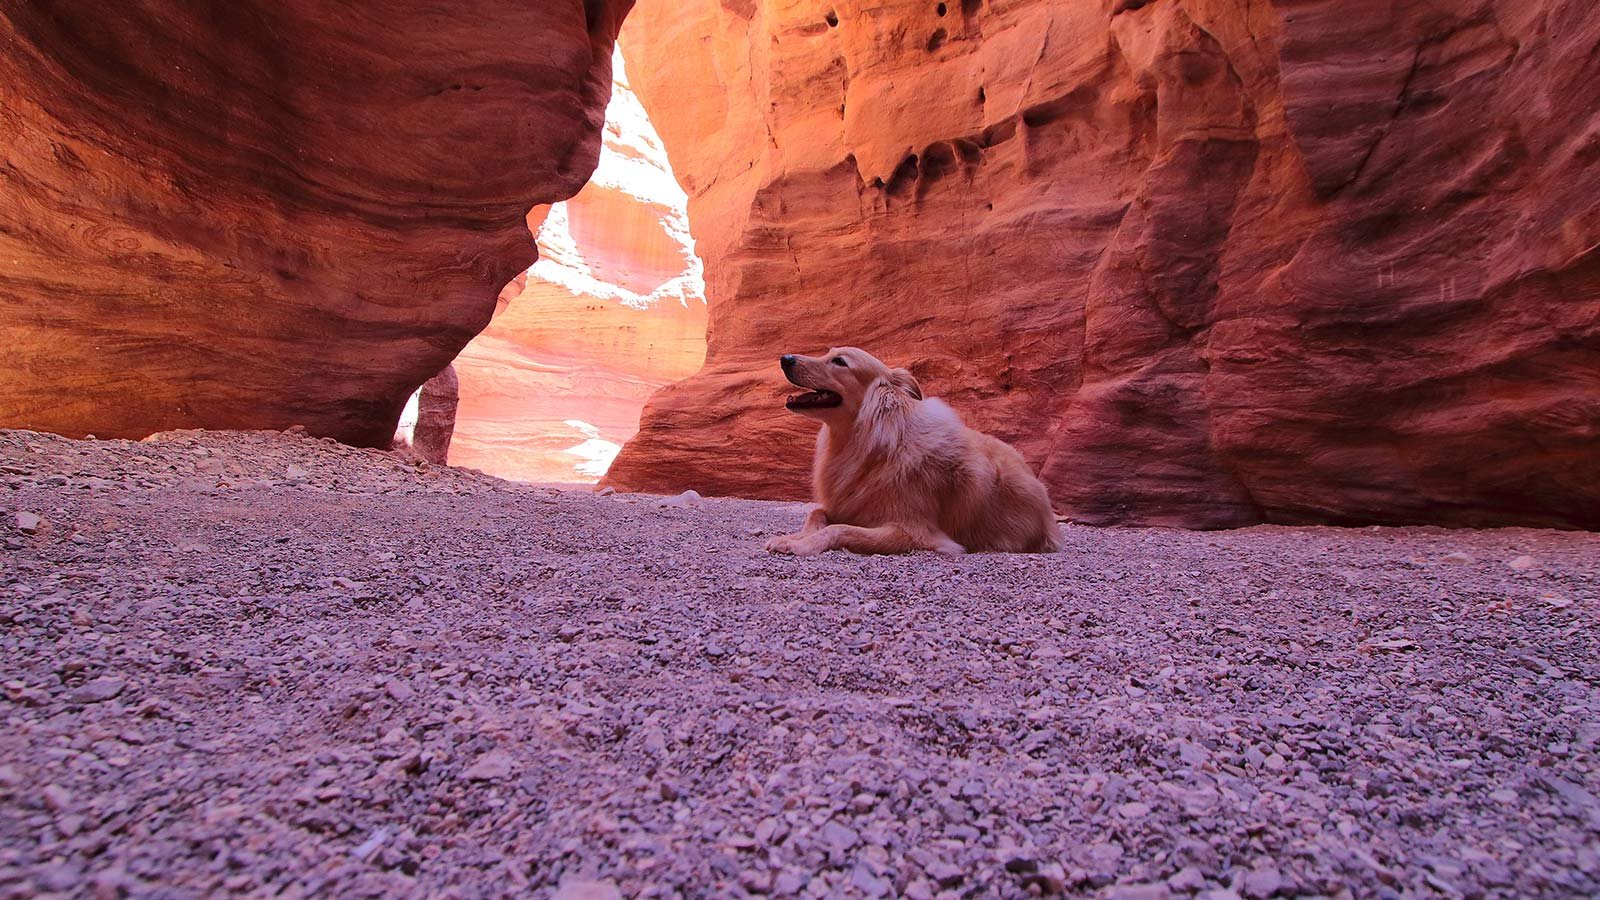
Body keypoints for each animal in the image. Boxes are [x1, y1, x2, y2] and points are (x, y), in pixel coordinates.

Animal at [761, 344, 1062, 550]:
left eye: (840, 361)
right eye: (829, 354)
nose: (785, 359)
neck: (869, 441)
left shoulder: (912, 532)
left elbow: (839, 530)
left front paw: (800, 545)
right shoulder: (846, 502)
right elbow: (817, 513)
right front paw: (794, 537)